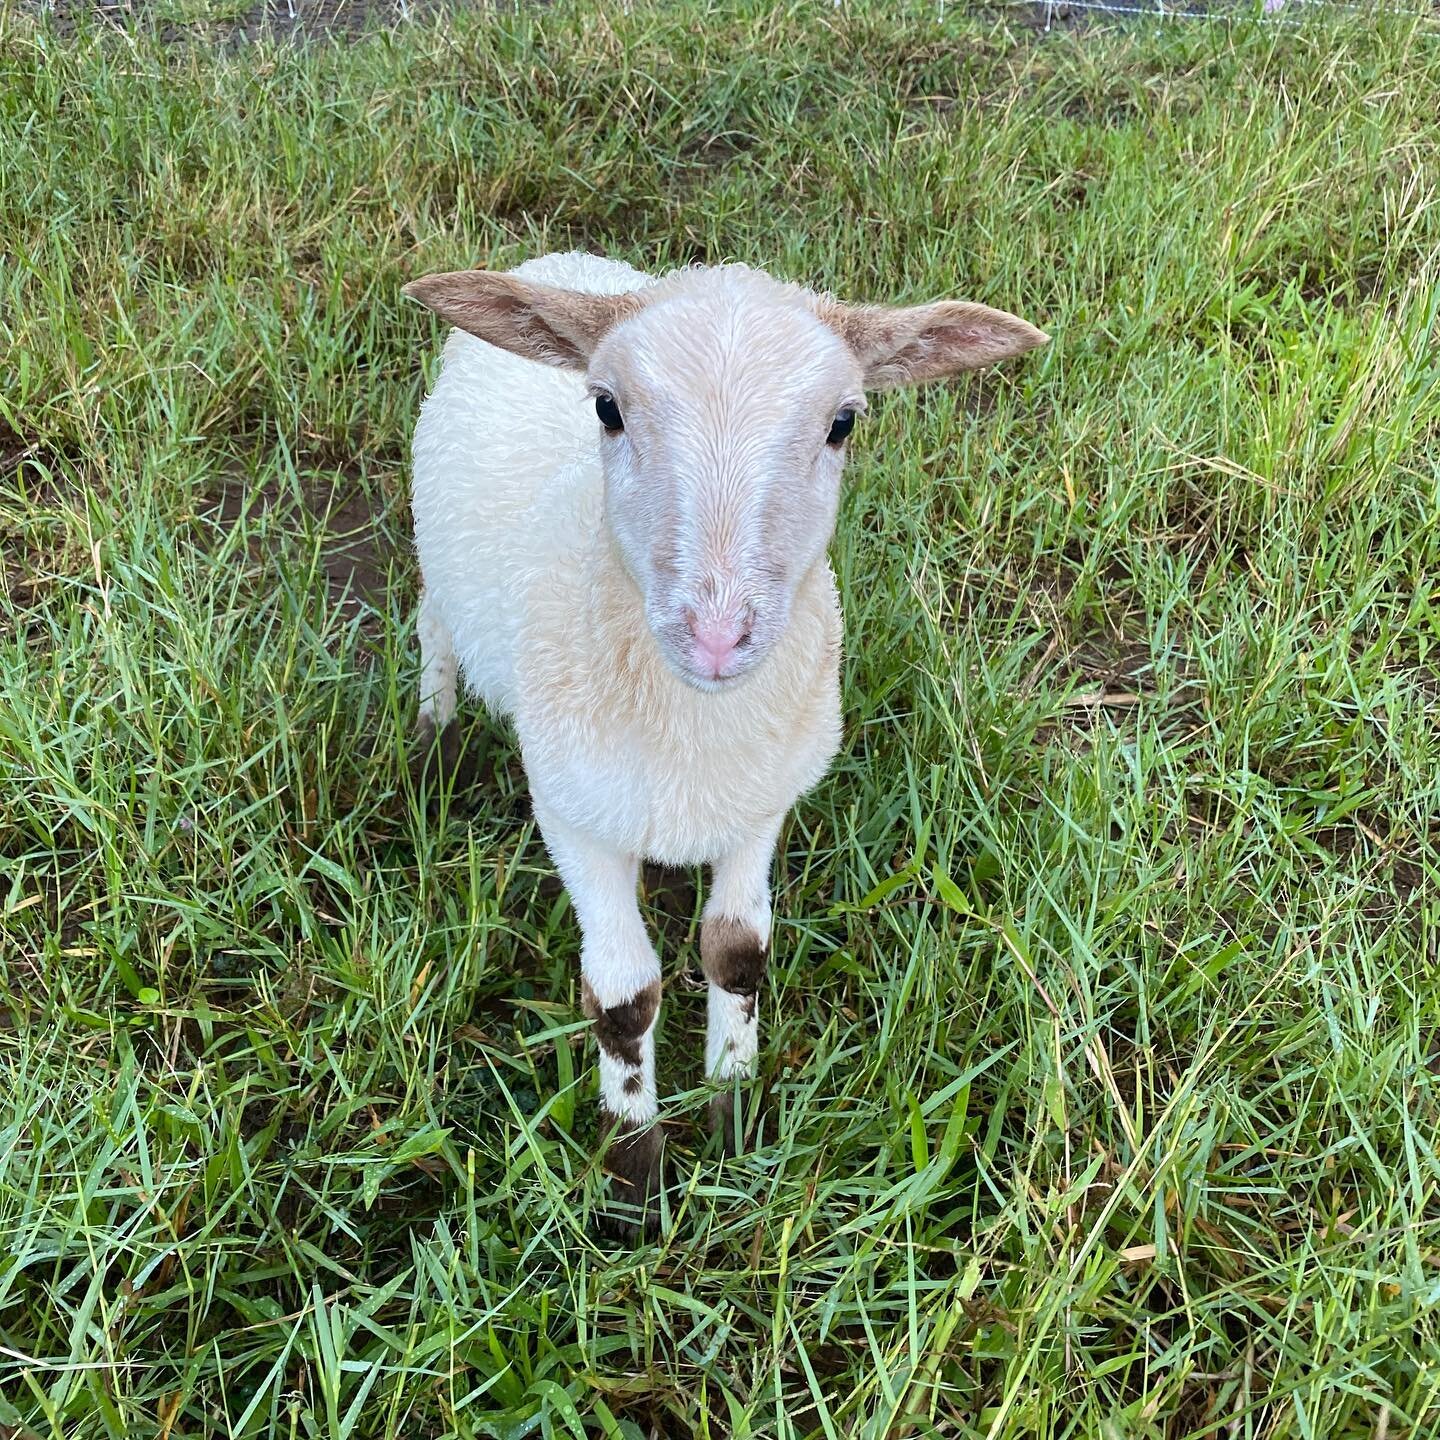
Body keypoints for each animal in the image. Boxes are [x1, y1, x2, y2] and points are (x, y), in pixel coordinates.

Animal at [403, 253, 1048, 1232]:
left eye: (843, 421)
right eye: (606, 408)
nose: (716, 636)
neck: (695, 731)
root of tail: (563, 265)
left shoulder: (762, 803)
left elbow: (737, 954)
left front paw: (734, 1115)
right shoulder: (572, 812)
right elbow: (623, 998)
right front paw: (633, 1181)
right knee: (432, 624)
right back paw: (434, 731)